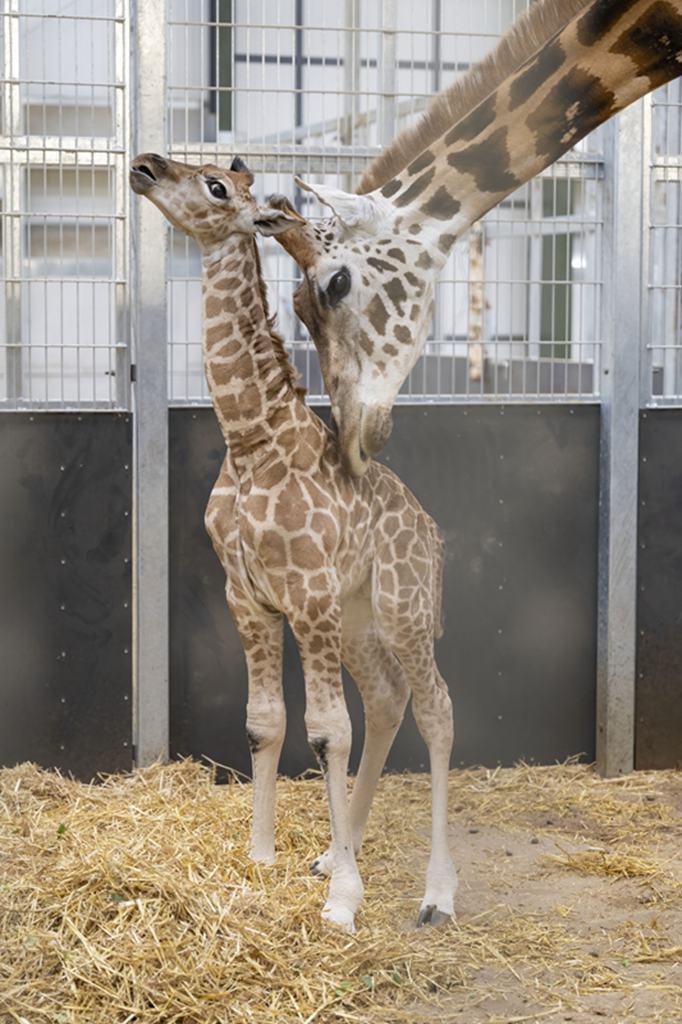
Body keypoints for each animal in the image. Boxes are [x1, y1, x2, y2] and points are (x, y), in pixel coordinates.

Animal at [130, 153, 454, 937]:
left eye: (216, 187)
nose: (145, 166)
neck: (251, 441)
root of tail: (432, 532)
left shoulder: (306, 592)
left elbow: (327, 730)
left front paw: (344, 901)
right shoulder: (248, 596)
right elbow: (265, 723)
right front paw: (264, 857)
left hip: (402, 608)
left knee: (436, 711)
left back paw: (437, 894)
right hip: (359, 617)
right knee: (389, 700)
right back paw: (339, 852)